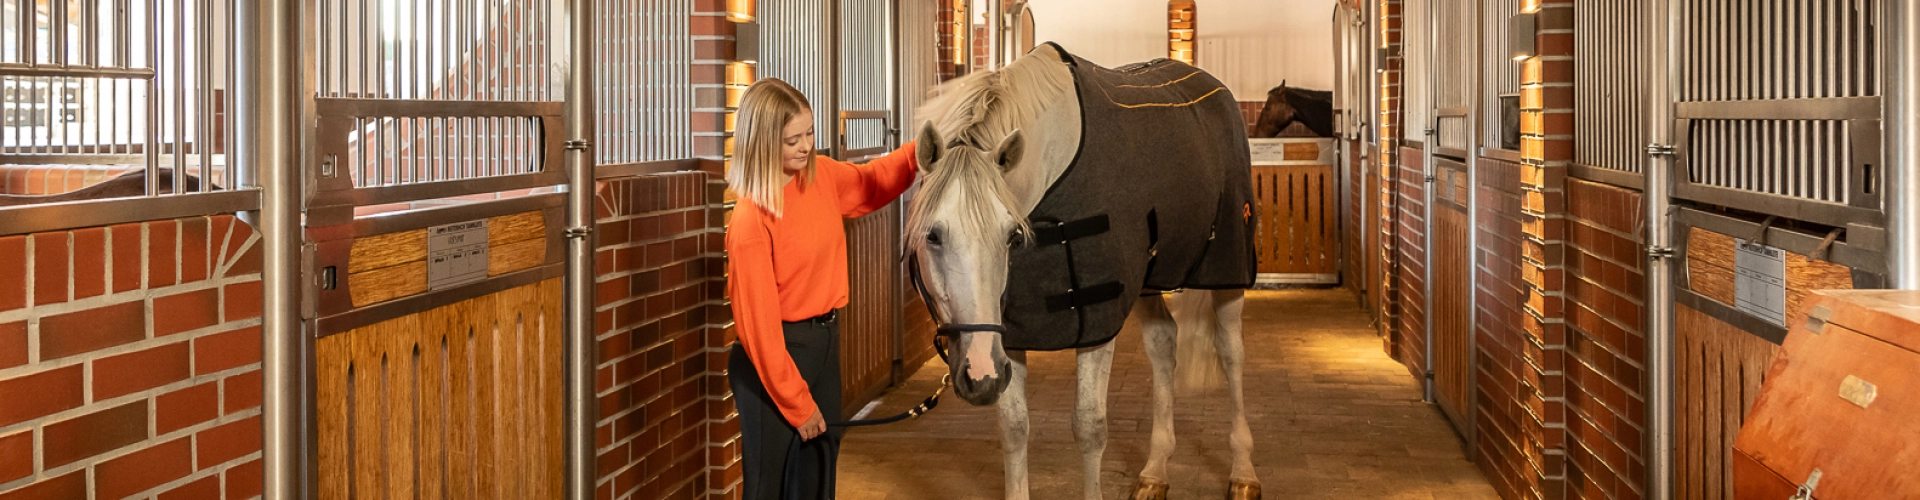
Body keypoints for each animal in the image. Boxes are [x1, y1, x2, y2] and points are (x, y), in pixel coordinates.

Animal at [906, 43, 1260, 500]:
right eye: (932, 235)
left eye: (1010, 236)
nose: (980, 374)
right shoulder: (1011, 335)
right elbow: (1014, 428)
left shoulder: (1096, 321)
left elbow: (1089, 427)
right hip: (1146, 281)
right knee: (1164, 344)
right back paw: (1155, 472)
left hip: (1228, 269)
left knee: (1232, 354)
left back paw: (1243, 473)